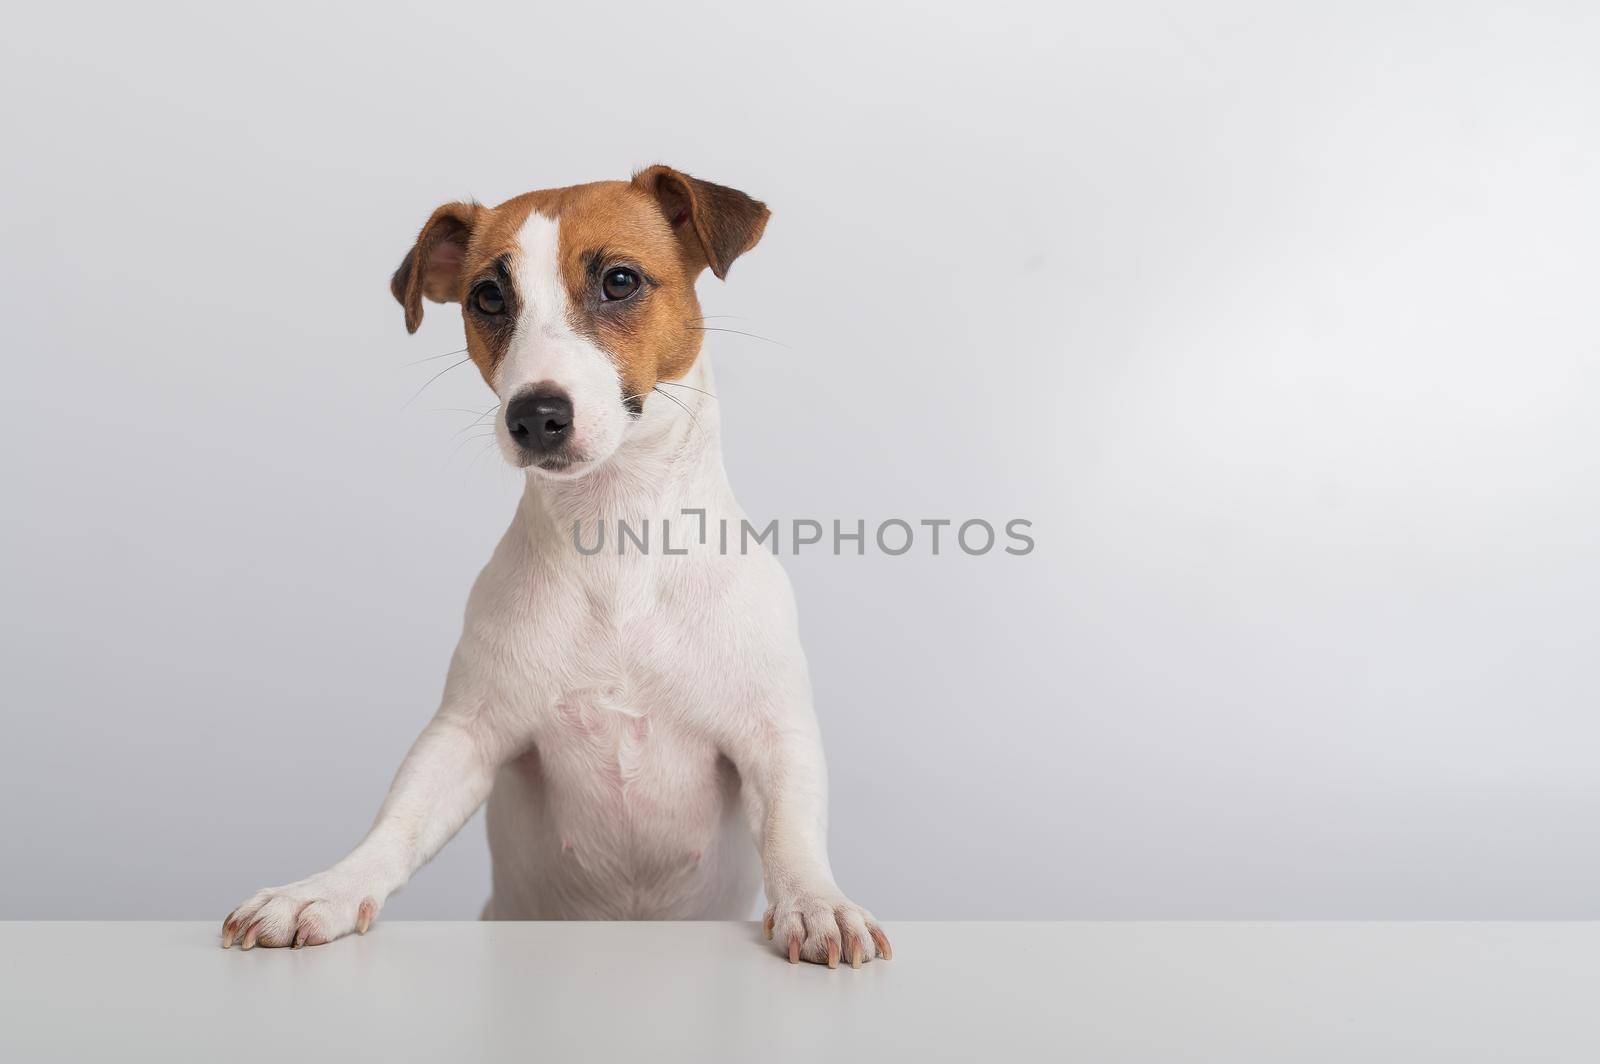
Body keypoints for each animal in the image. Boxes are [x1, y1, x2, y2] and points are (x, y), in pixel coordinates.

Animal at [219, 164, 889, 960]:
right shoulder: (467, 735)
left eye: (620, 280)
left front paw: (818, 905)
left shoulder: (773, 738)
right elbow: (400, 820)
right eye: (487, 296)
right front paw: (325, 888)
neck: (615, 537)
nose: (535, 415)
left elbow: (791, 832)